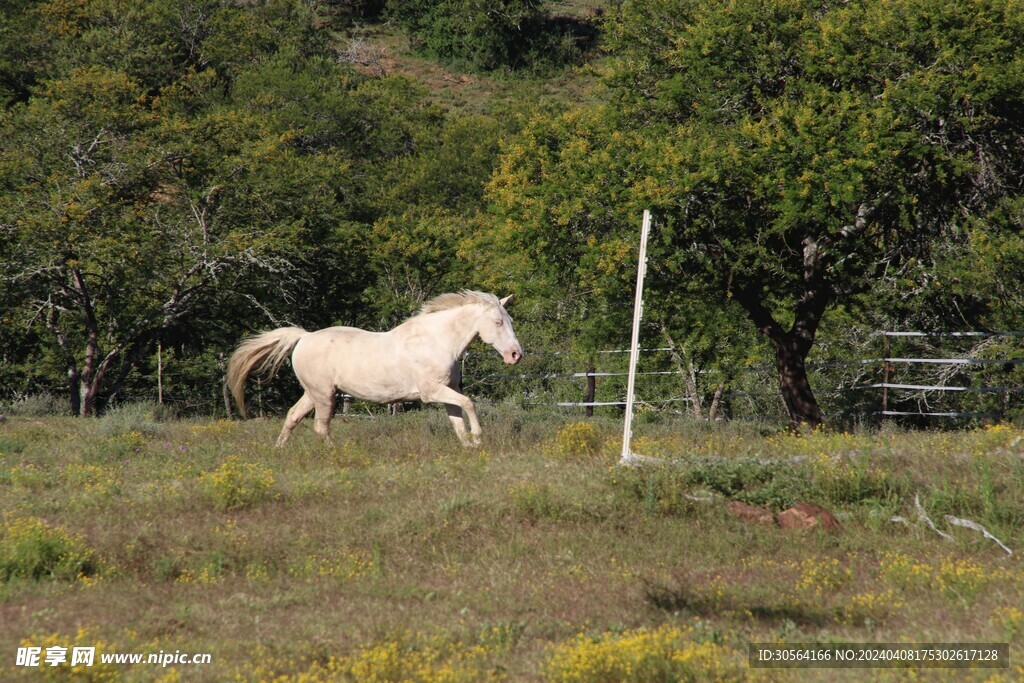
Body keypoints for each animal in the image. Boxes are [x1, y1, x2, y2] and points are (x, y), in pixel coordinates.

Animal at [228, 290, 524, 446]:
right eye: (498, 322)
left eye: (509, 319)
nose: (515, 355)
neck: (436, 341)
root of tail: (304, 337)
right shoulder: (431, 392)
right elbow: (469, 403)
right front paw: (479, 437)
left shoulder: (447, 391)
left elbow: (457, 420)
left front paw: (471, 446)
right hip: (324, 395)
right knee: (321, 427)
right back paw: (335, 452)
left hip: (313, 394)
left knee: (292, 416)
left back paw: (280, 449)